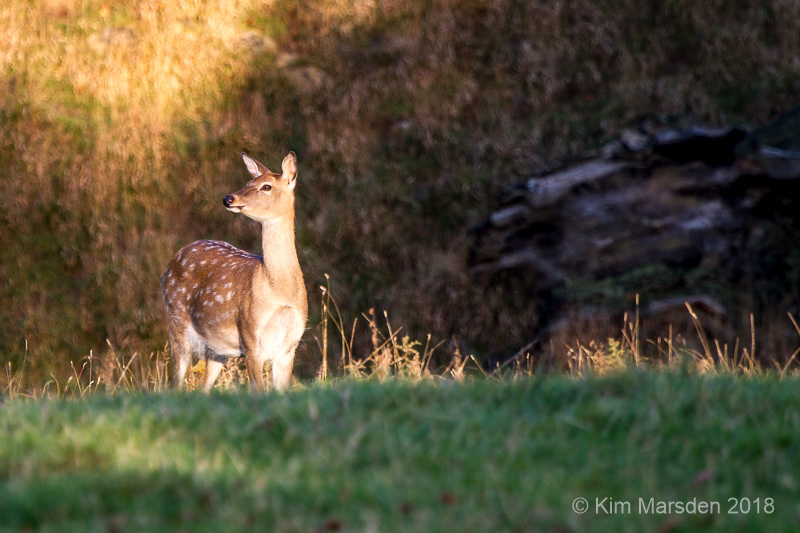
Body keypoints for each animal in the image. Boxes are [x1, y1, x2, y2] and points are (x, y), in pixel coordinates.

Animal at [160, 151, 308, 392]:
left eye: (266, 186)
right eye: (248, 183)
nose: (228, 198)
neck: (279, 290)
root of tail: (172, 260)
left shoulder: (288, 347)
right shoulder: (250, 338)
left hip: (215, 349)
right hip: (176, 322)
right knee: (177, 383)